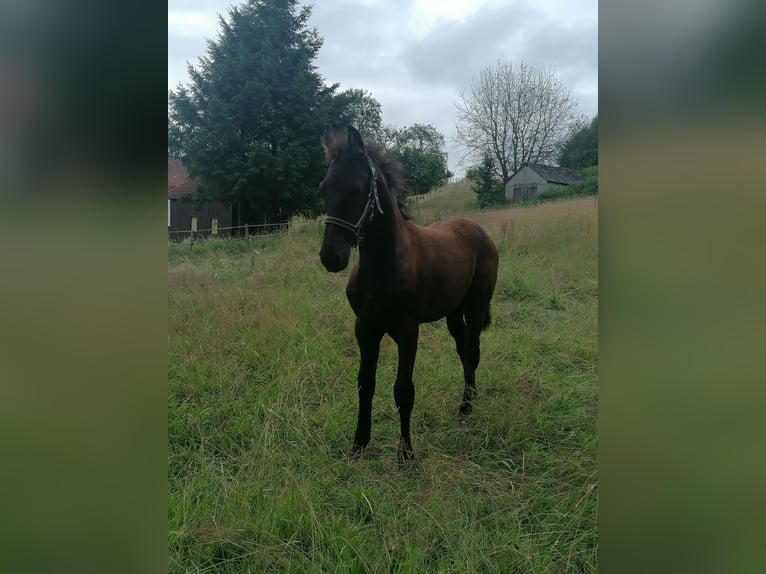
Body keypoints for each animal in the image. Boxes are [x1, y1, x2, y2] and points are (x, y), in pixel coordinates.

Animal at [316, 127, 498, 468]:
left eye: (357, 189)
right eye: (323, 189)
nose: (331, 257)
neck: (383, 265)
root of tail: (479, 230)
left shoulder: (407, 331)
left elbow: (403, 390)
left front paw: (407, 456)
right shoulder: (365, 329)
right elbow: (365, 384)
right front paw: (359, 445)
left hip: (475, 306)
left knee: (472, 351)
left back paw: (466, 408)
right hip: (452, 313)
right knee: (462, 349)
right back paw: (470, 397)